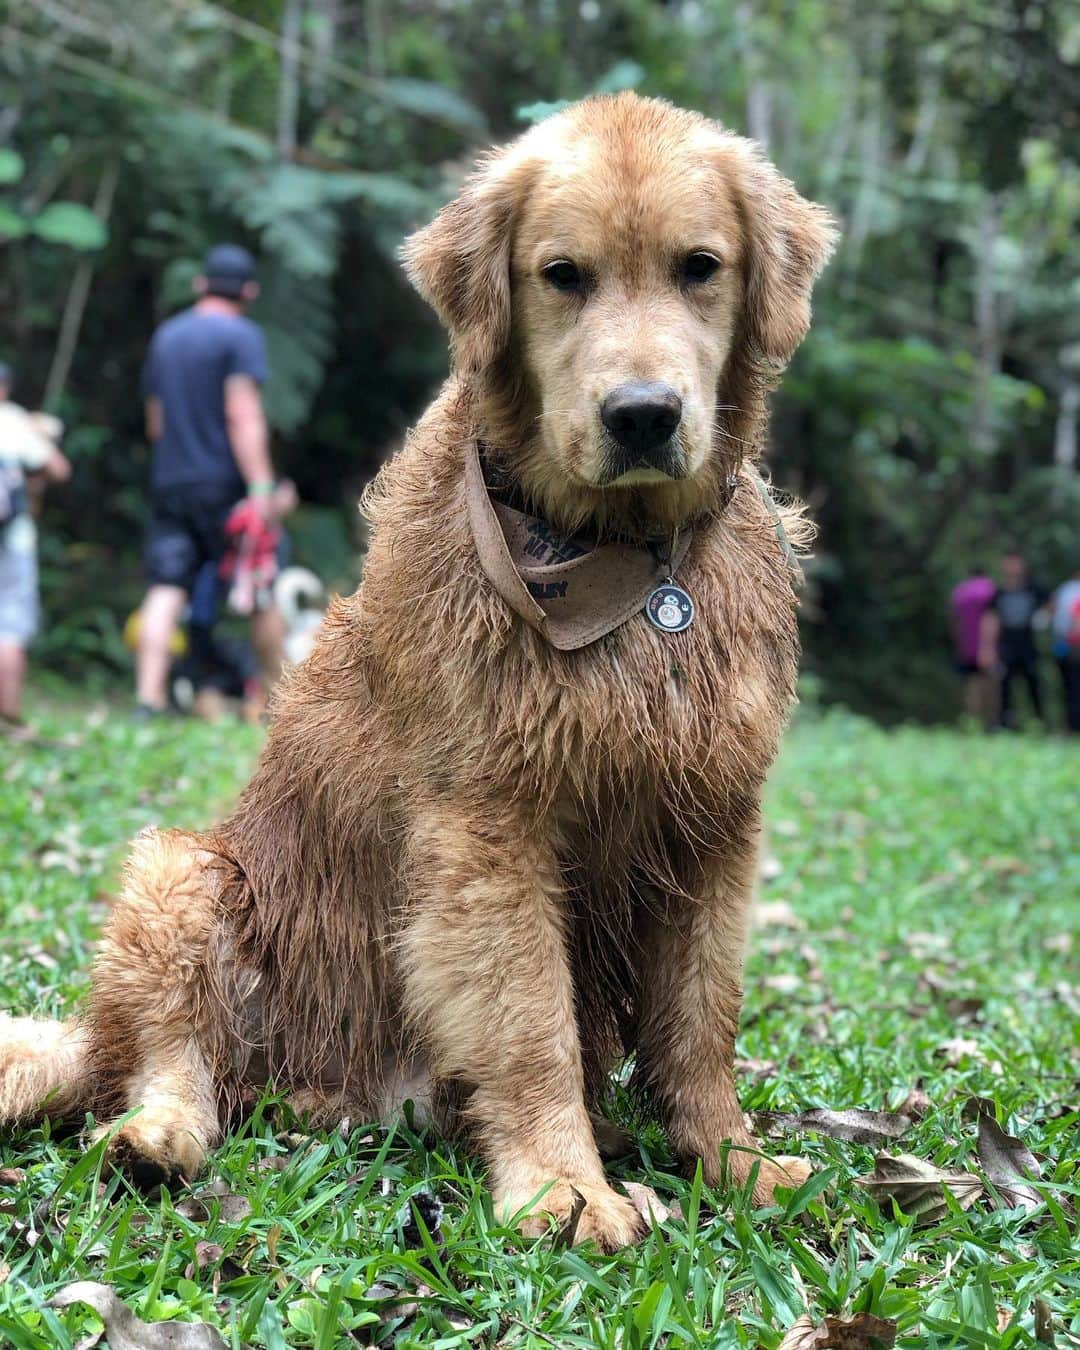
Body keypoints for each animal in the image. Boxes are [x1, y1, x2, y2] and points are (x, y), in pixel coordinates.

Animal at [0, 95, 837, 1252]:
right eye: (563, 274)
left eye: (700, 267)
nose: (642, 415)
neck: (624, 566)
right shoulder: (488, 831)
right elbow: (531, 1025)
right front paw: (562, 1187)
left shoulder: (712, 824)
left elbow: (701, 1023)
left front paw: (732, 1161)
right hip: (186, 879)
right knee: (178, 1061)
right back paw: (156, 1139)